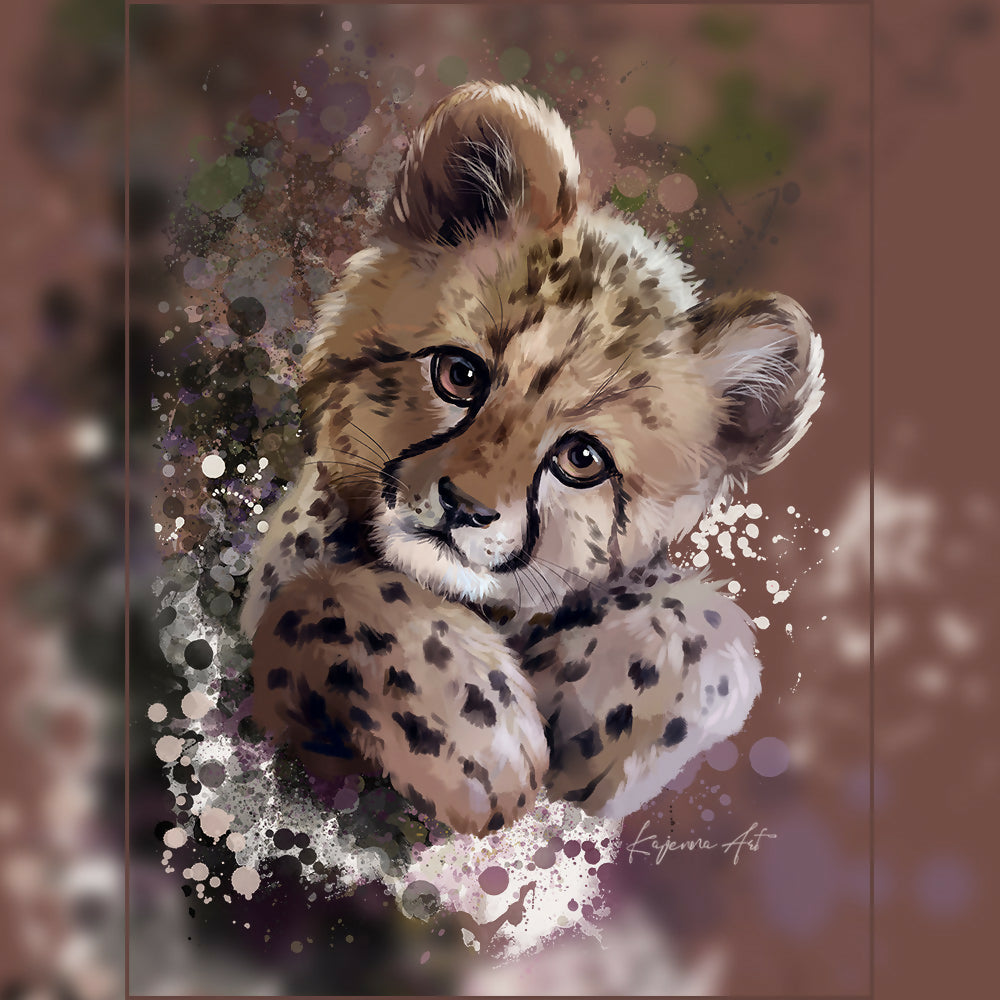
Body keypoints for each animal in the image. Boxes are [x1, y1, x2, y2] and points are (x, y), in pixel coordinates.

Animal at [240, 82, 824, 836]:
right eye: (459, 375)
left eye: (582, 458)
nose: (463, 507)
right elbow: (332, 593)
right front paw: (476, 734)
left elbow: (710, 625)